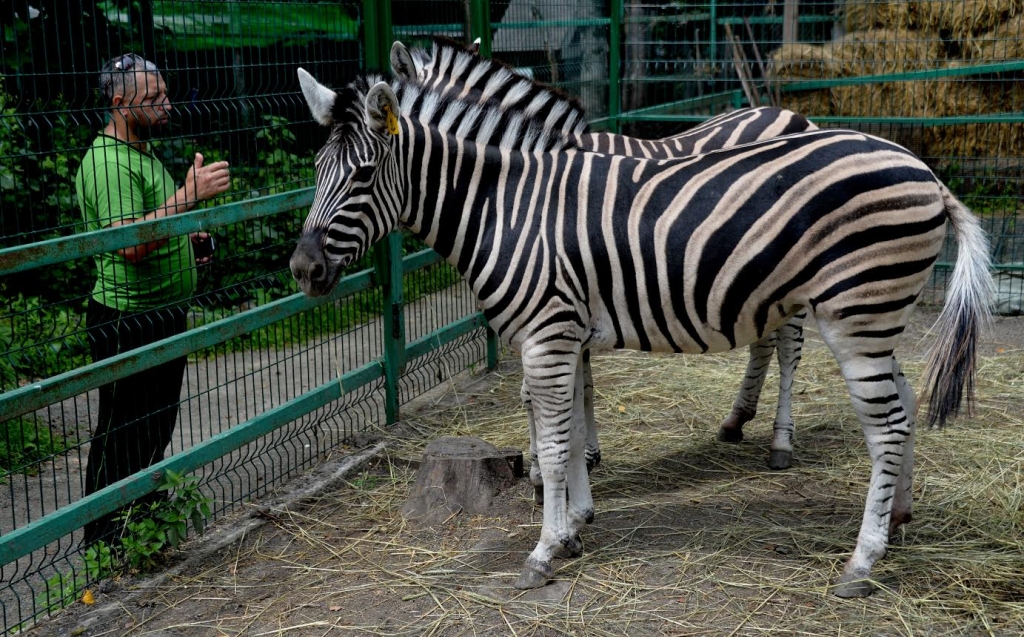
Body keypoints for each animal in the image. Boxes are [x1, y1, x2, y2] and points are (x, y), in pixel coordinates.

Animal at [391, 38, 815, 483]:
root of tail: (792, 114)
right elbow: (579, 384)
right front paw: (584, 455)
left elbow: (540, 389)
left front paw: (544, 466)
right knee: (765, 340)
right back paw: (736, 419)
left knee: (789, 347)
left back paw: (780, 442)